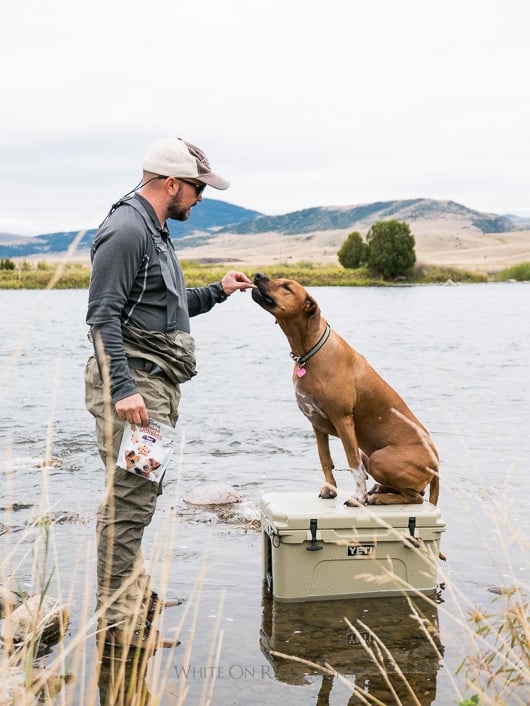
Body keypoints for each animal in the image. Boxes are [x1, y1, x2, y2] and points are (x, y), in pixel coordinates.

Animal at [251, 272, 438, 504]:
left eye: (287, 287)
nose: (258, 275)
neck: (309, 351)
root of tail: (437, 466)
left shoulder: (343, 419)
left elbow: (353, 464)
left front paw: (358, 497)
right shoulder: (316, 424)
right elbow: (324, 458)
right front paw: (329, 489)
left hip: (378, 457)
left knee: (416, 497)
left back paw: (377, 498)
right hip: (370, 455)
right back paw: (380, 489)